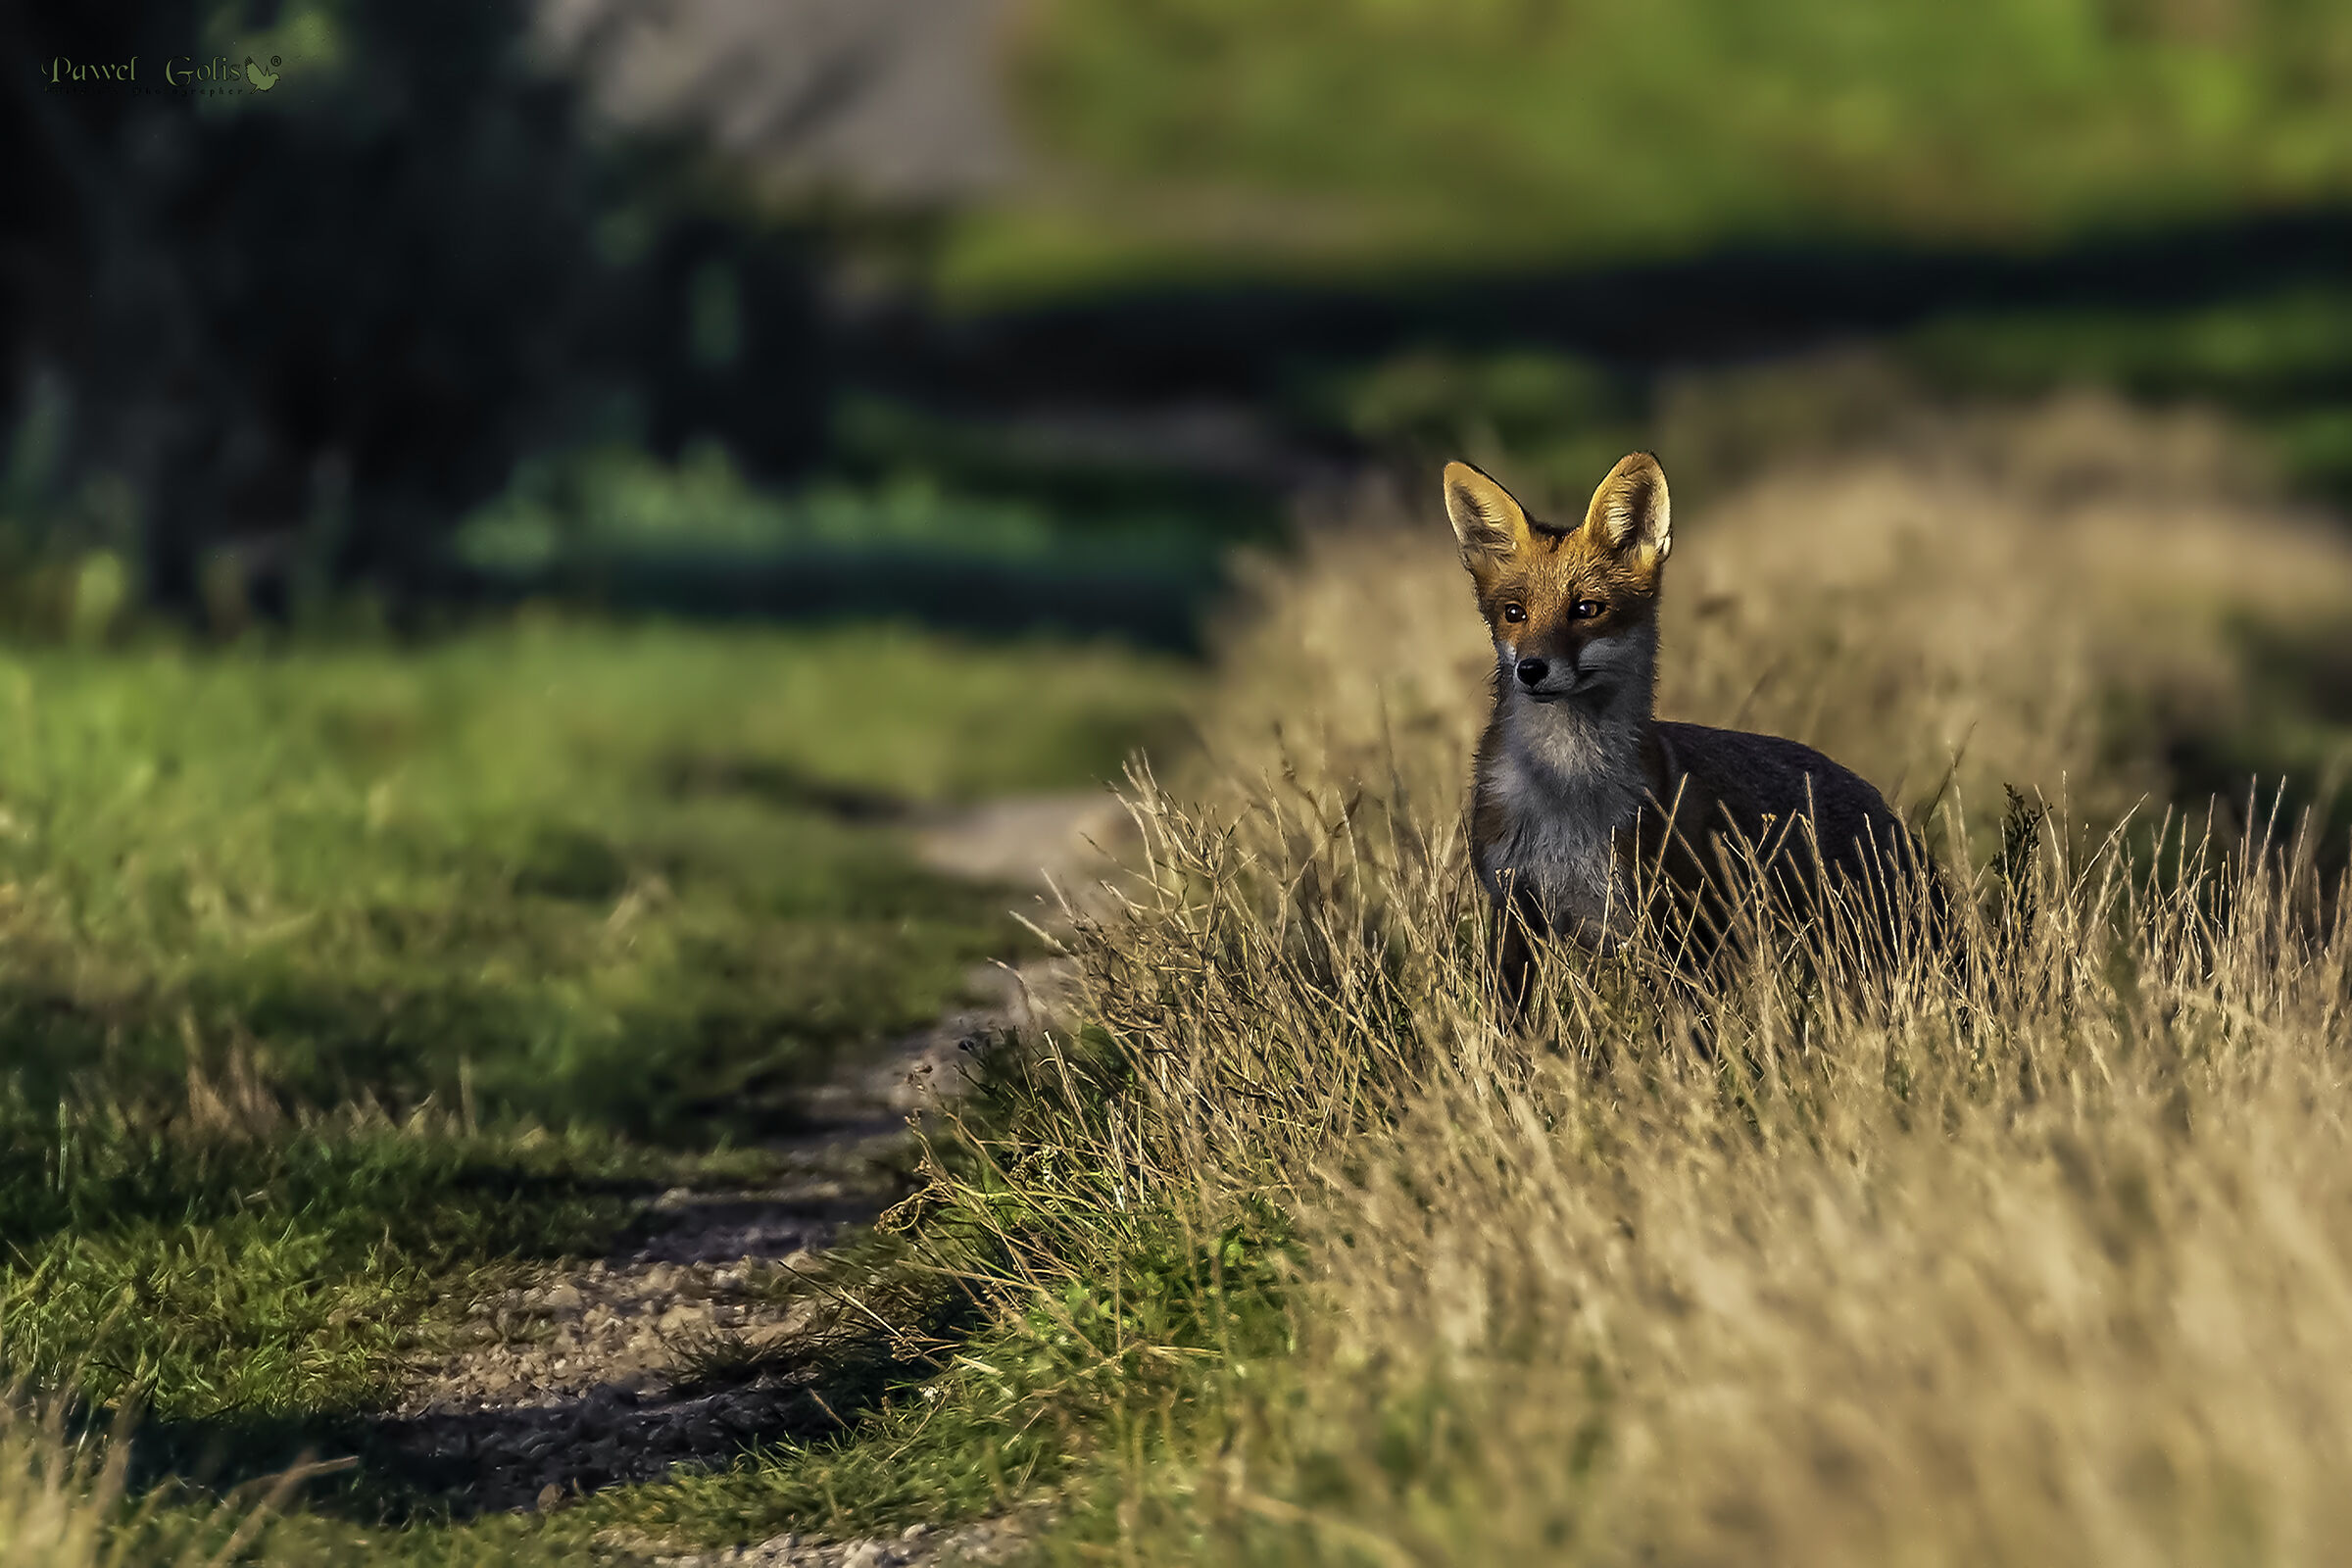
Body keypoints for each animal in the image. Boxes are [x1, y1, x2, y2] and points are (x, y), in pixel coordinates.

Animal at [1445, 452, 1938, 1005]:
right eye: (1514, 613)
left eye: (1586, 609)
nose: (1531, 669)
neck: (1565, 794)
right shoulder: (1512, 907)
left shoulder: (1674, 924)